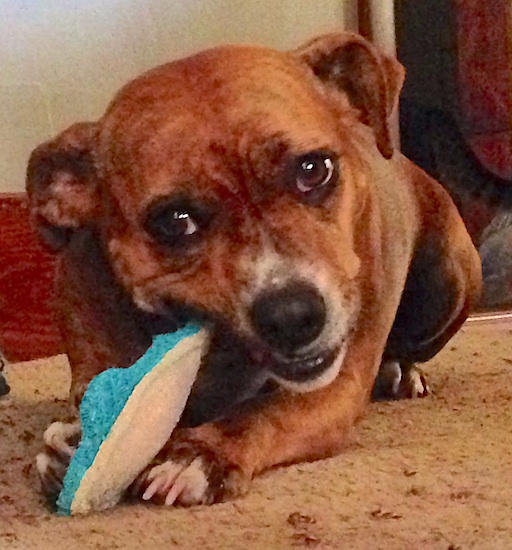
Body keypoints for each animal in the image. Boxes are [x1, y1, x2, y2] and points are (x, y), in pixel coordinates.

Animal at [26, 33, 482, 508]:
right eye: (175, 221)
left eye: (313, 170)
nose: (292, 316)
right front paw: (70, 447)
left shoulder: (335, 387)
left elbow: (263, 412)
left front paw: (199, 454)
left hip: (451, 277)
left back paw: (401, 371)